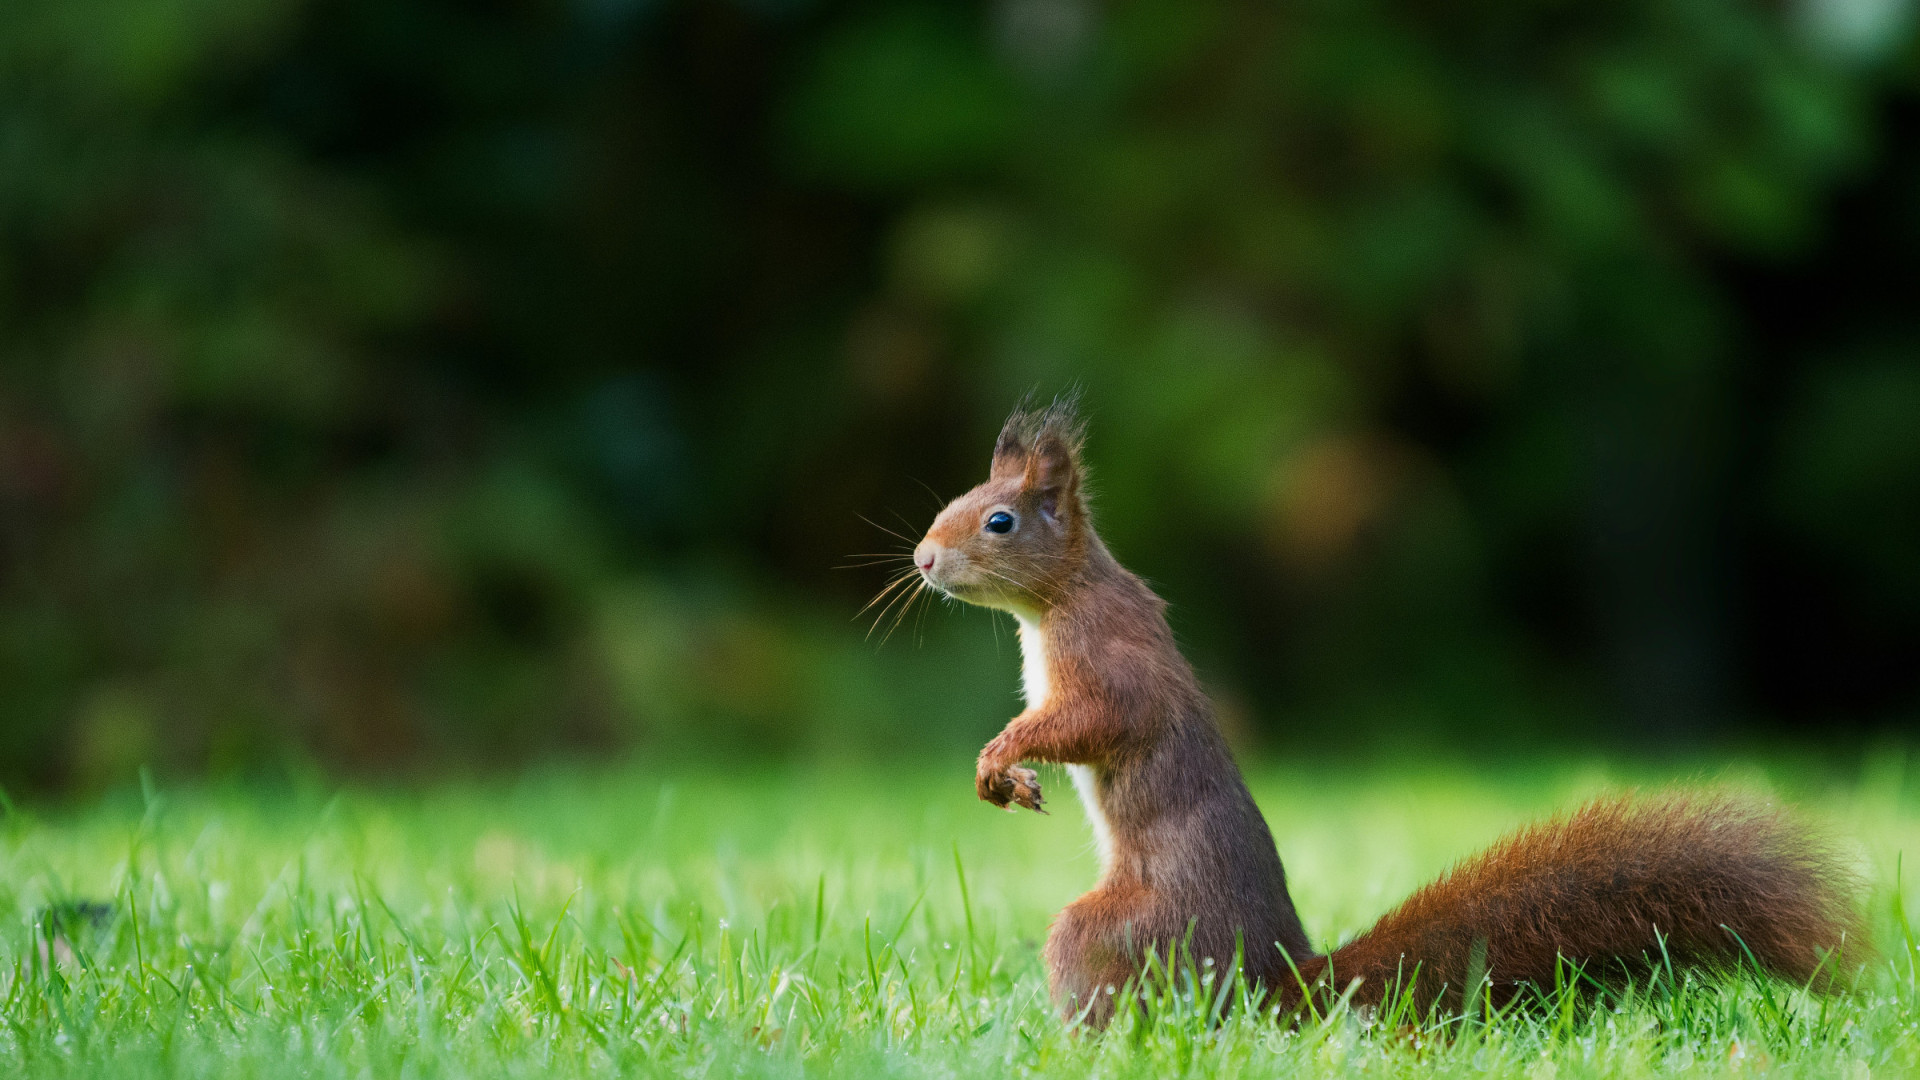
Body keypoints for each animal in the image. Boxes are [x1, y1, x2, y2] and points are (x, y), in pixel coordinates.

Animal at [909, 395, 1864, 1027]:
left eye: (998, 521)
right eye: (949, 505)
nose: (921, 559)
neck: (1058, 600)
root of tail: (1279, 983)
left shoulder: (1110, 661)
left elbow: (1100, 721)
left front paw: (1002, 756)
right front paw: (1008, 775)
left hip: (1125, 931)